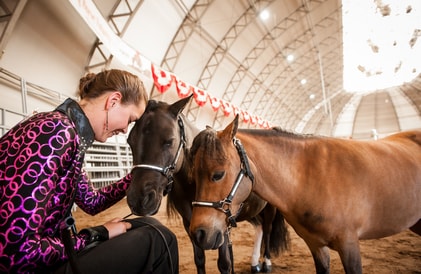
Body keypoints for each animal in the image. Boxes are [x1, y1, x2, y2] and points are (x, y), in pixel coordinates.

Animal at [124, 97, 288, 272]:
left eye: (169, 141)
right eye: (130, 142)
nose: (139, 200)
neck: (192, 187)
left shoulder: (221, 224)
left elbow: (224, 263)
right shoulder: (190, 224)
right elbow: (199, 259)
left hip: (270, 209)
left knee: (268, 230)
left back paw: (266, 262)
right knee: (259, 228)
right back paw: (255, 262)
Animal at [189, 115, 420, 274]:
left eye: (218, 174)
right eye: (193, 175)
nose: (199, 234)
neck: (312, 176)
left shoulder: (350, 246)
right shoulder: (316, 246)